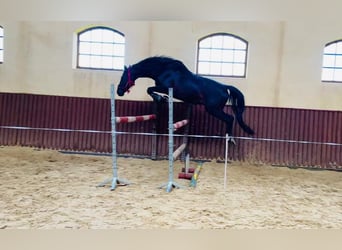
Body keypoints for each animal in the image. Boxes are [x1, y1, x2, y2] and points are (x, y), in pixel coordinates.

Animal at [117, 57, 254, 143]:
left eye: (123, 76)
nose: (119, 91)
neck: (164, 70)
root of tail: (225, 88)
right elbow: (150, 89)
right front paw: (162, 98)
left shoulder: (164, 87)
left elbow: (149, 89)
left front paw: (161, 98)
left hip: (213, 109)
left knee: (230, 118)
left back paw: (230, 139)